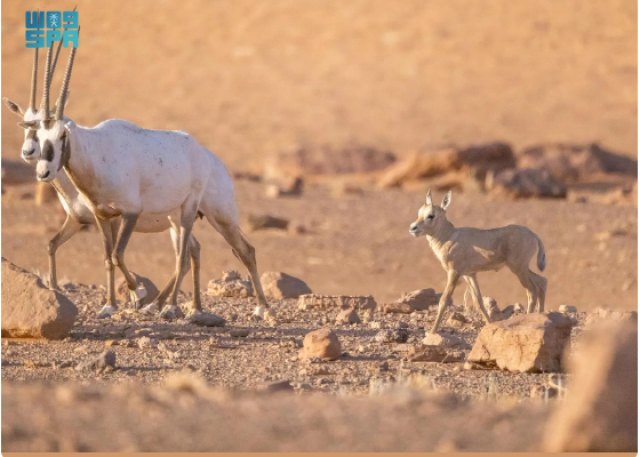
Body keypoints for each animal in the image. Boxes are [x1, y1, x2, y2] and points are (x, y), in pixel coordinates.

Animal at [408, 189, 548, 332]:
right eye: (419, 213)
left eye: (431, 215)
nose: (413, 228)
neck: (449, 236)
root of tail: (534, 235)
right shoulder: (469, 275)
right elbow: (478, 301)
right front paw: (489, 324)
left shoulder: (454, 273)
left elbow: (444, 299)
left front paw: (432, 331)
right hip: (522, 268)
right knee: (542, 281)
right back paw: (540, 314)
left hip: (518, 269)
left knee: (532, 290)